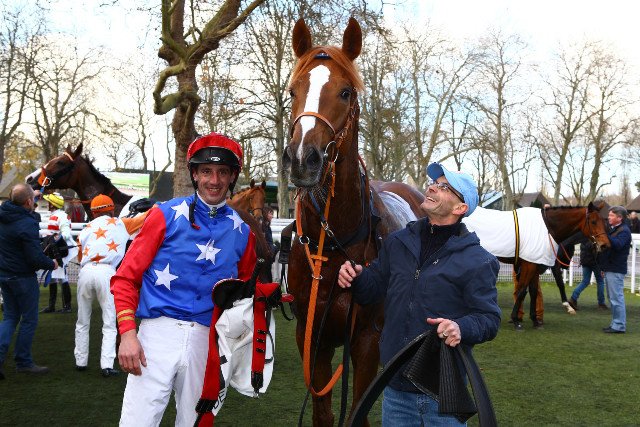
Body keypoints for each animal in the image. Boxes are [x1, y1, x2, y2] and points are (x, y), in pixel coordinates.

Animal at [282, 18, 425, 426]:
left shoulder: (367, 341)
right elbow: (324, 414)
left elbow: (356, 412)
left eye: (345, 92)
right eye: (293, 91)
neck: (333, 241)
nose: (303, 159)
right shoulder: (311, 338)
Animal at [462, 203, 610, 330]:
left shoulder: (535, 263)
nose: (605, 245)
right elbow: (522, 290)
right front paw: (516, 320)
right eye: (593, 221)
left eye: (604, 222)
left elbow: (533, 291)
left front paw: (535, 320)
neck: (547, 228)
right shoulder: (529, 264)